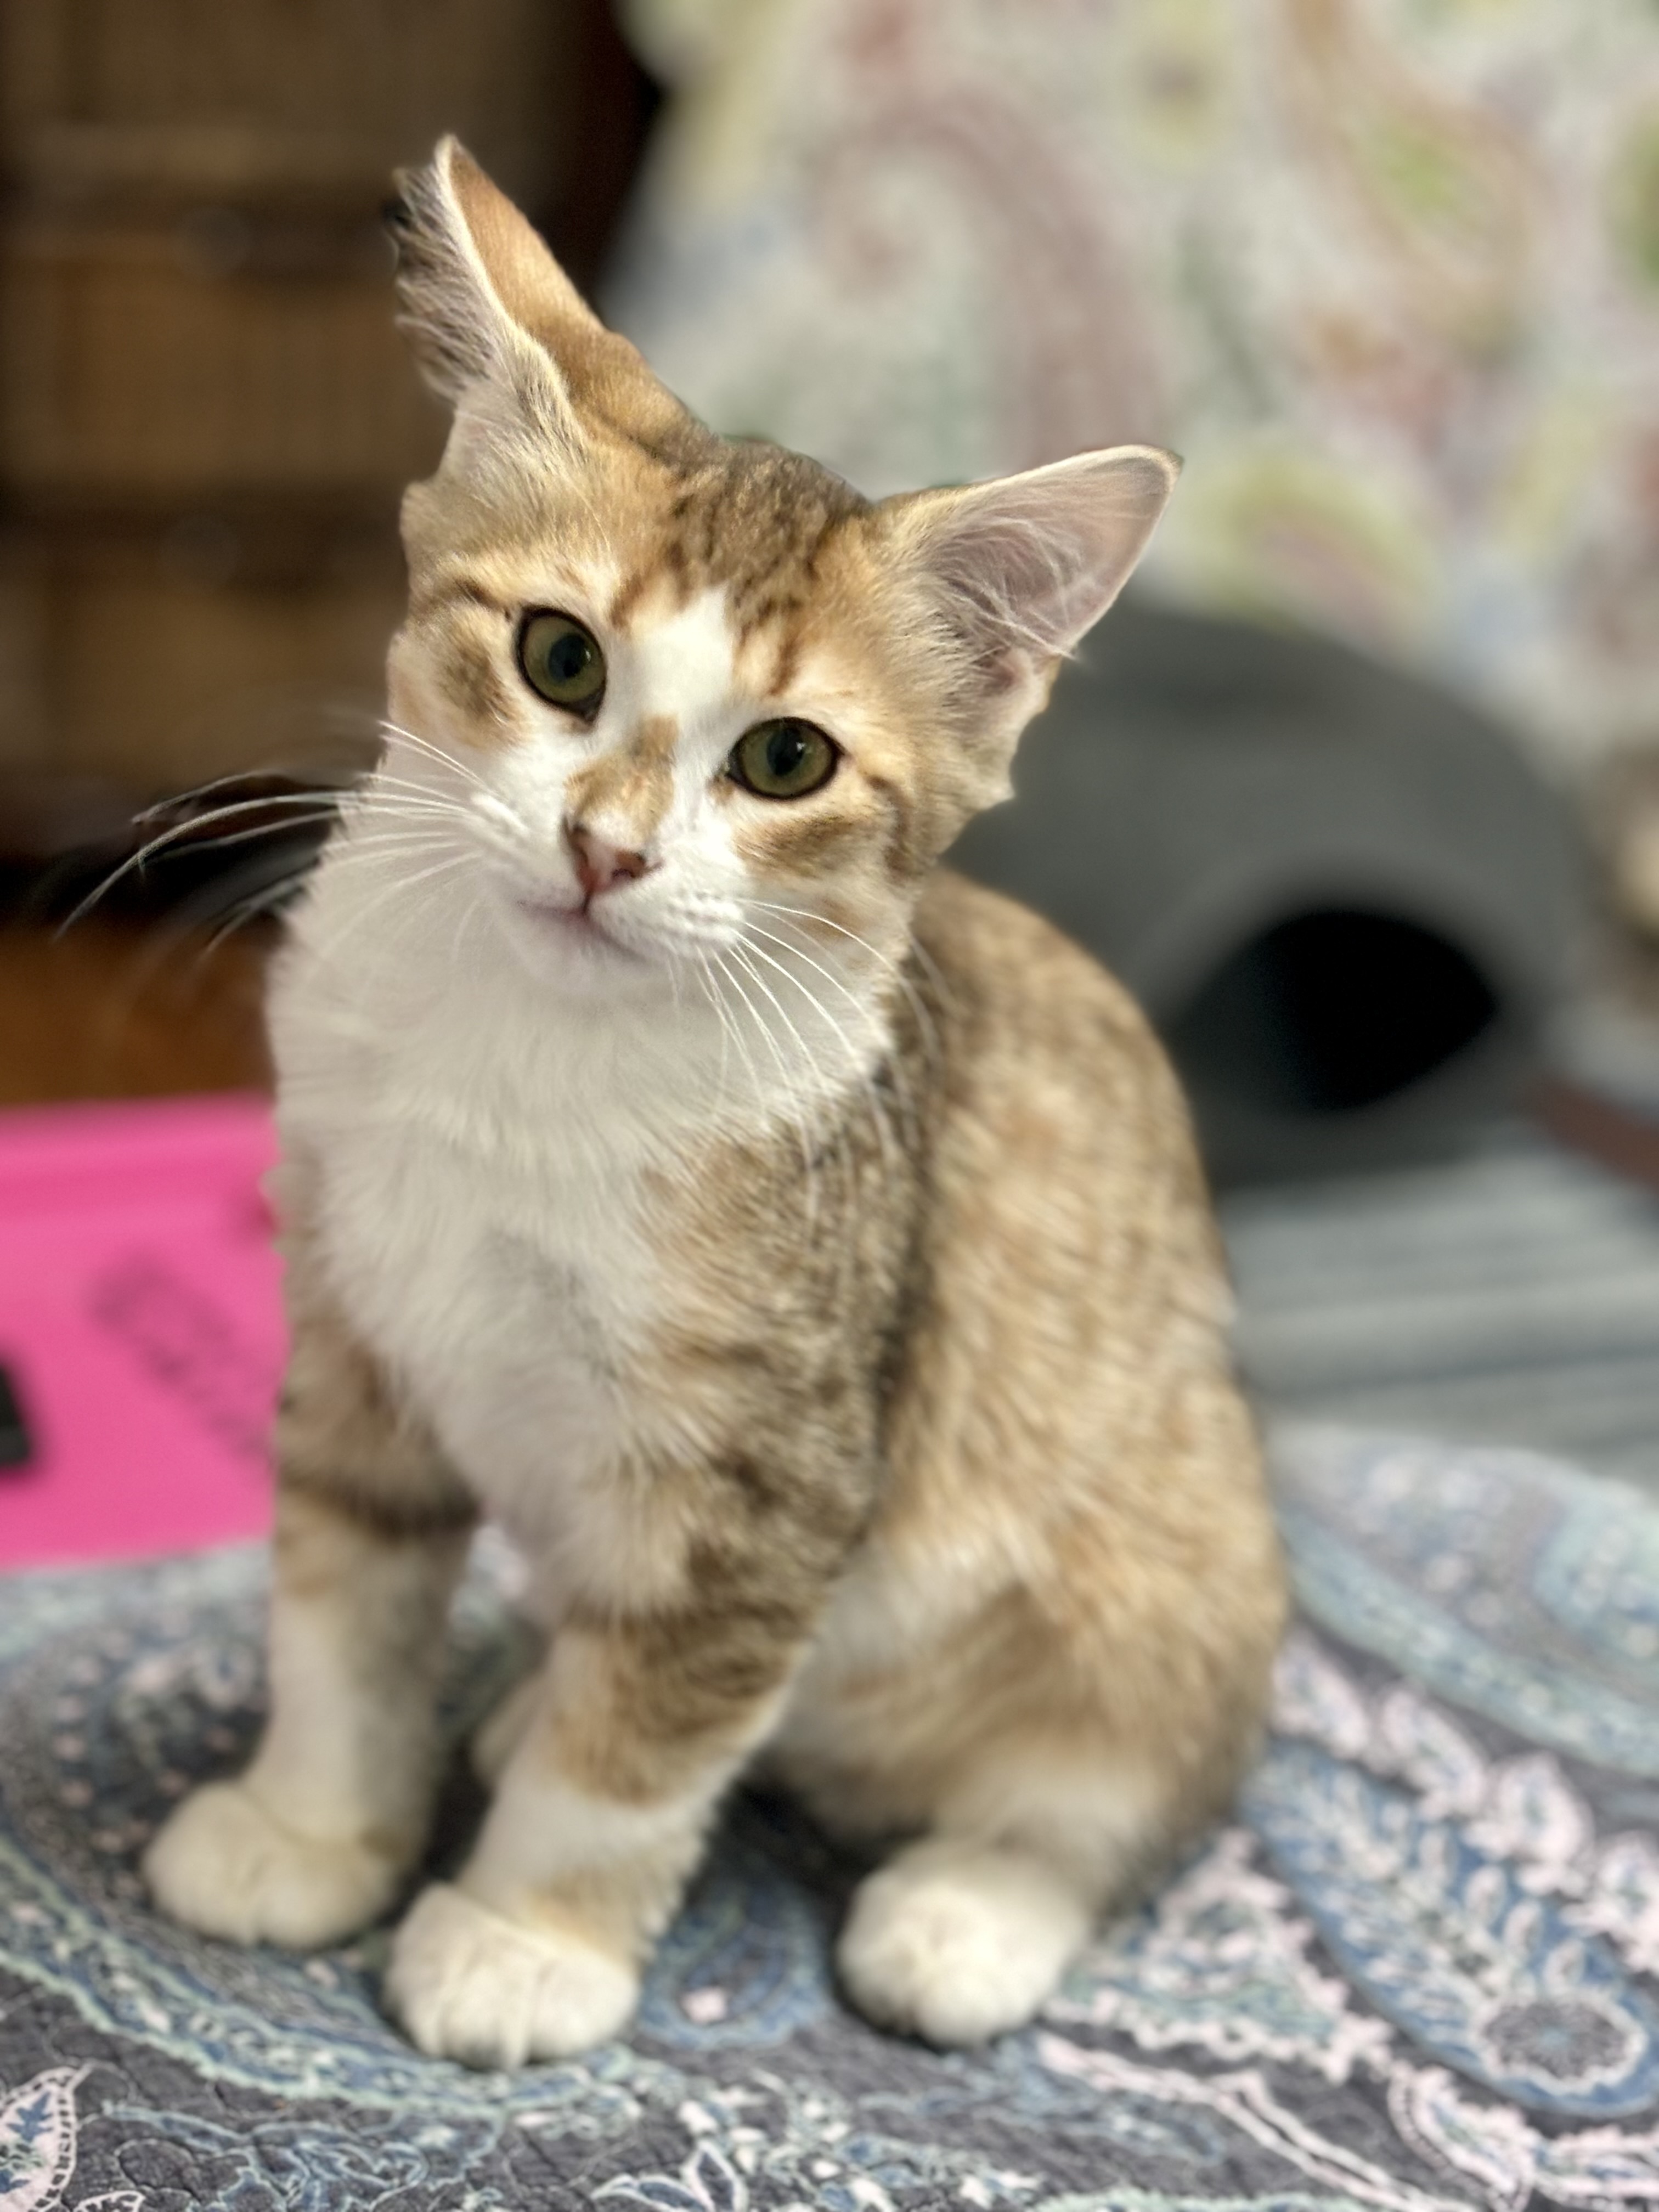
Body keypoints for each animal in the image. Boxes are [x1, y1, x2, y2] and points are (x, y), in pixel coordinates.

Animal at [143, 138, 1283, 2061]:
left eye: (786, 760)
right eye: (559, 658)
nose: (606, 850)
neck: (527, 1059)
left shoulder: (774, 1473)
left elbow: (646, 1742)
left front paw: (523, 1939)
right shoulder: (358, 1325)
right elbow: (343, 1600)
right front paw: (309, 1828)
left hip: (1175, 1559)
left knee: (1113, 1793)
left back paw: (971, 1910)